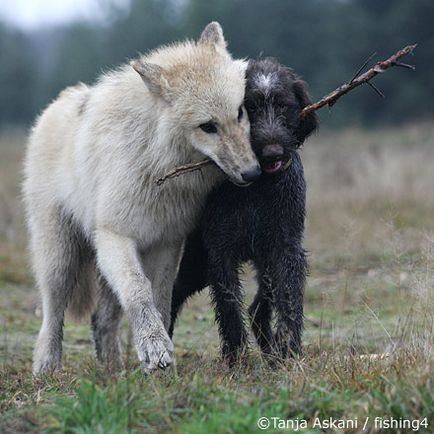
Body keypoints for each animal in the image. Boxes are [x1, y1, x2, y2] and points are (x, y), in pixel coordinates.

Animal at [23, 22, 260, 372]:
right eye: (208, 126)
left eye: (241, 112)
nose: (253, 173)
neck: (153, 159)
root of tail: (58, 102)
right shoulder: (115, 236)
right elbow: (138, 291)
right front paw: (155, 348)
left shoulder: (165, 242)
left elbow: (160, 297)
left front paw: (157, 364)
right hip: (60, 258)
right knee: (52, 310)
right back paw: (45, 366)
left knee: (102, 319)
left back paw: (113, 370)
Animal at [170, 56, 318, 364]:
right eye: (249, 108)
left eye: (284, 105)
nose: (273, 152)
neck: (258, 187)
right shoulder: (220, 252)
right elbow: (229, 310)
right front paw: (236, 358)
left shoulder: (285, 248)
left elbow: (289, 300)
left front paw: (289, 350)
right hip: (197, 265)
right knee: (174, 294)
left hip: (264, 263)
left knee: (259, 306)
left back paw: (271, 352)